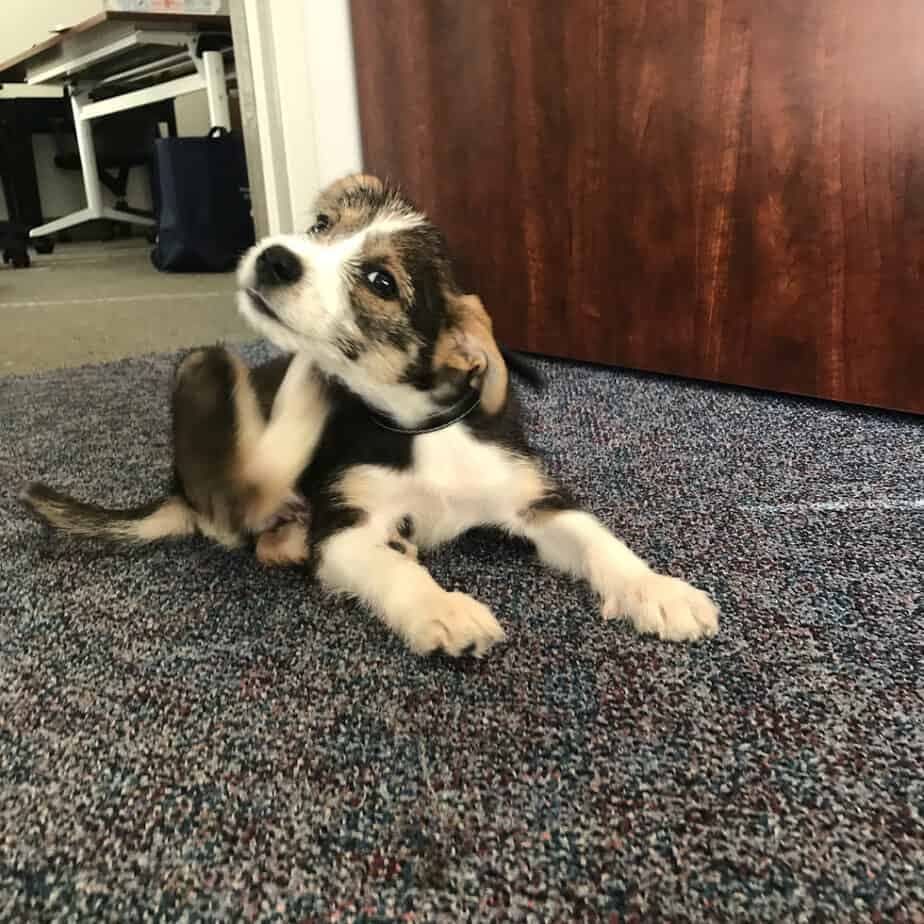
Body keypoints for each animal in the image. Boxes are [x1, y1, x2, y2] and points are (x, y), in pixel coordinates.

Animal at [19, 173, 716, 656]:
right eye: (322, 225)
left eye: (382, 282)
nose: (273, 257)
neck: (423, 427)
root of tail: (177, 487)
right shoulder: (346, 528)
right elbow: (389, 569)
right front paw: (445, 609)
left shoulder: (535, 500)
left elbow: (602, 541)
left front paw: (660, 591)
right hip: (236, 458)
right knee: (244, 490)